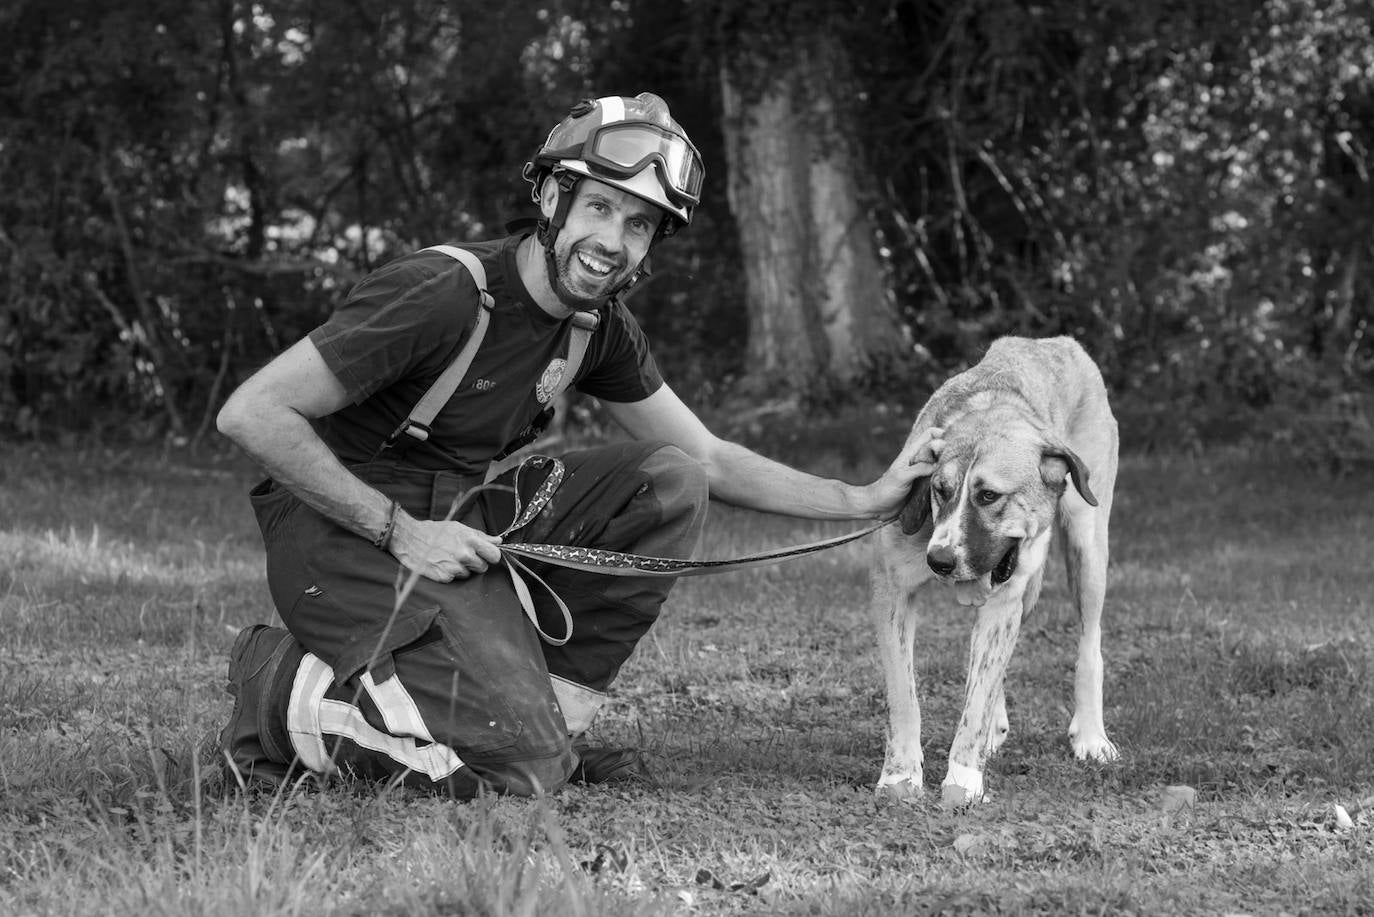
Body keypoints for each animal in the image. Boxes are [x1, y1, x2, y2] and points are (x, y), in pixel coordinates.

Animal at [868, 335, 1115, 802]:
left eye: (988, 496)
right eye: (939, 490)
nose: (940, 561)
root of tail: (1058, 341)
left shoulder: (1004, 600)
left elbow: (977, 699)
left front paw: (963, 778)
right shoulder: (893, 592)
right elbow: (904, 695)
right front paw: (900, 775)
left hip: (1088, 546)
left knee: (1089, 642)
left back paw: (1092, 736)